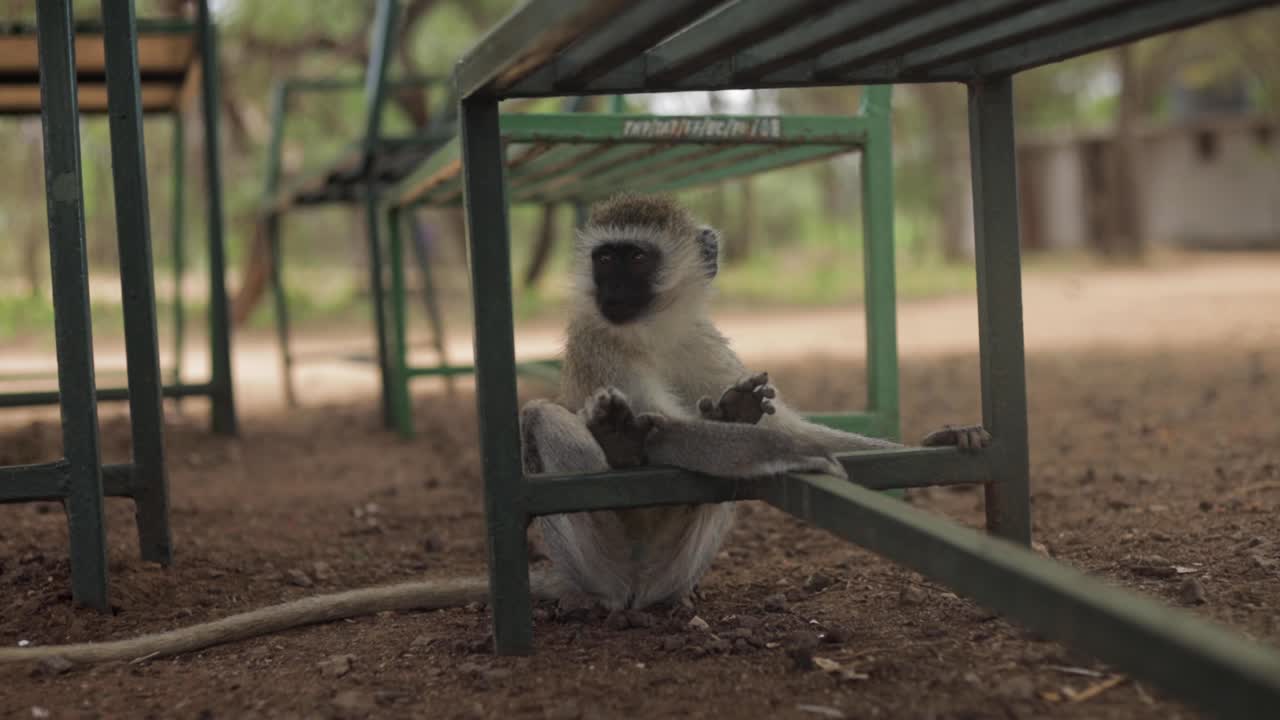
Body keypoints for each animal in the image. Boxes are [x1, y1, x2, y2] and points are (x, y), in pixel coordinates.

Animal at [0, 193, 986, 667]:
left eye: (633, 259)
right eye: (605, 261)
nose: (609, 285)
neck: (651, 328)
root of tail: (613, 592)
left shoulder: (705, 343)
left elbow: (740, 411)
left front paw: (940, 449)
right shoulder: (599, 342)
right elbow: (668, 435)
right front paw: (789, 451)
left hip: (678, 568)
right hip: (595, 553)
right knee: (558, 419)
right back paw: (619, 452)